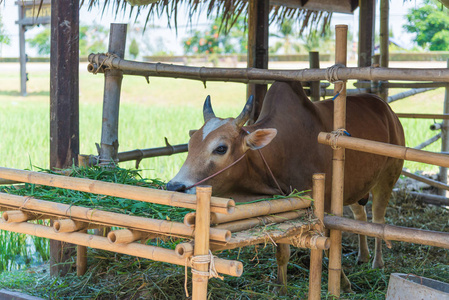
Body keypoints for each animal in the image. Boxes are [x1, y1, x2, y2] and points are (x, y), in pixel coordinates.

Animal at [166, 81, 404, 292]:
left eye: (221, 148)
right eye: (190, 145)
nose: (174, 186)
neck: (281, 151)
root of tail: (387, 110)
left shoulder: (324, 207)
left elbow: (329, 249)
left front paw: (344, 285)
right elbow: (282, 252)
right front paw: (280, 289)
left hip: (387, 178)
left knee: (378, 220)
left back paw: (377, 263)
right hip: (355, 188)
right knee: (360, 217)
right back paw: (363, 256)